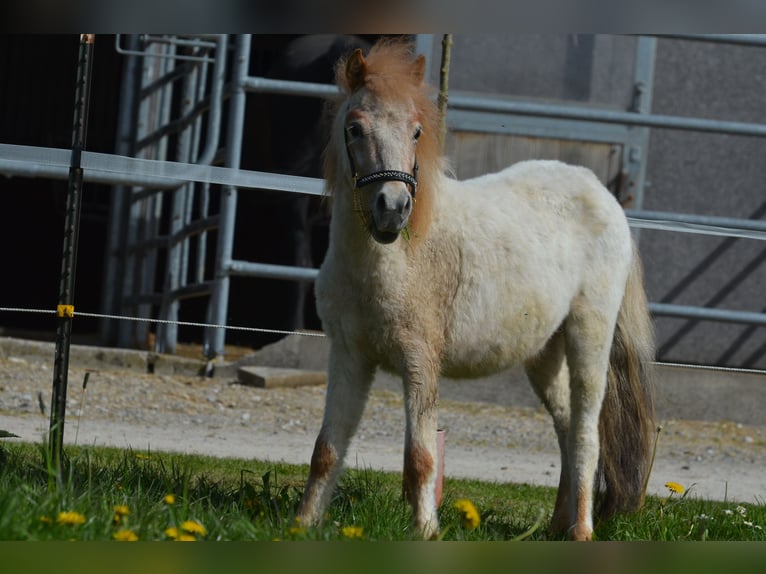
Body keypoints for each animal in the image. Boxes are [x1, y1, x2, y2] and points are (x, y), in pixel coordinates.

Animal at [296, 38, 656, 544]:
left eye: (416, 131)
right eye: (354, 128)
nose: (393, 208)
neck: (392, 259)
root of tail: (601, 193)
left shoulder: (419, 360)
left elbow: (421, 457)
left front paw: (426, 531)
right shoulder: (349, 357)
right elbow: (327, 449)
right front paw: (303, 524)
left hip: (590, 336)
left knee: (587, 435)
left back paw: (581, 531)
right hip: (544, 354)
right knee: (566, 428)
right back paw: (556, 525)